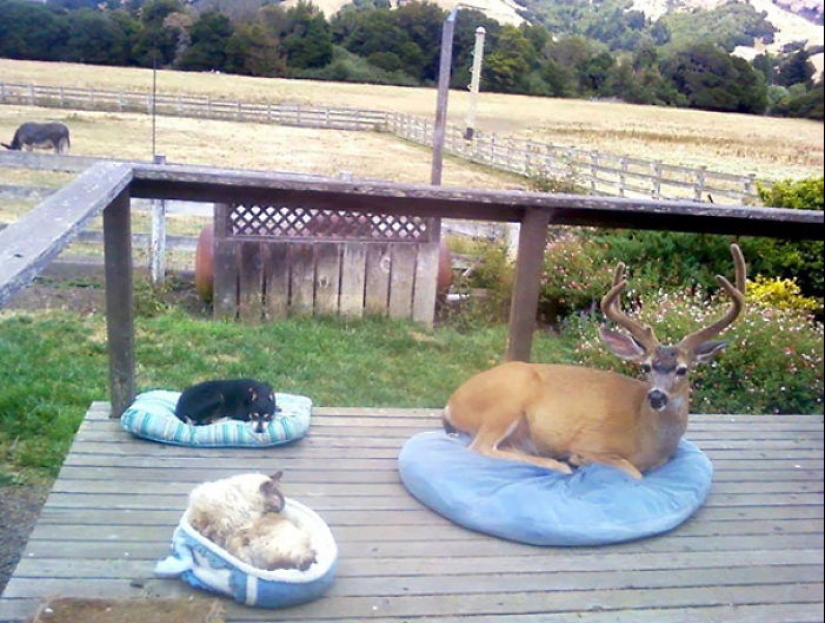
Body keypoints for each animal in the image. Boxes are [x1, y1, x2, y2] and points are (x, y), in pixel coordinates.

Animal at [444, 243, 748, 478]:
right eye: (646, 366)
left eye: (683, 370)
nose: (657, 396)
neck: (646, 438)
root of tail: (451, 404)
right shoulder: (593, 442)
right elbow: (633, 473)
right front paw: (577, 459)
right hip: (507, 400)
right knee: (481, 446)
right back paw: (559, 464)